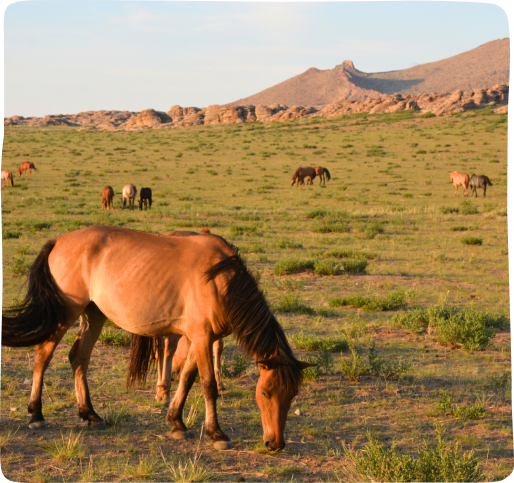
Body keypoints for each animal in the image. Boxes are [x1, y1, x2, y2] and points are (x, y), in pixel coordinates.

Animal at [2, 227, 310, 454]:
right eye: (266, 393)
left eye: (291, 395)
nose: (275, 443)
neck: (219, 280)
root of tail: (58, 241)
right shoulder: (201, 337)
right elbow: (208, 386)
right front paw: (216, 433)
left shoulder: (199, 338)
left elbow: (186, 379)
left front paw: (176, 423)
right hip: (66, 313)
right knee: (43, 355)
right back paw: (36, 415)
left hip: (94, 314)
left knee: (79, 358)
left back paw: (90, 414)